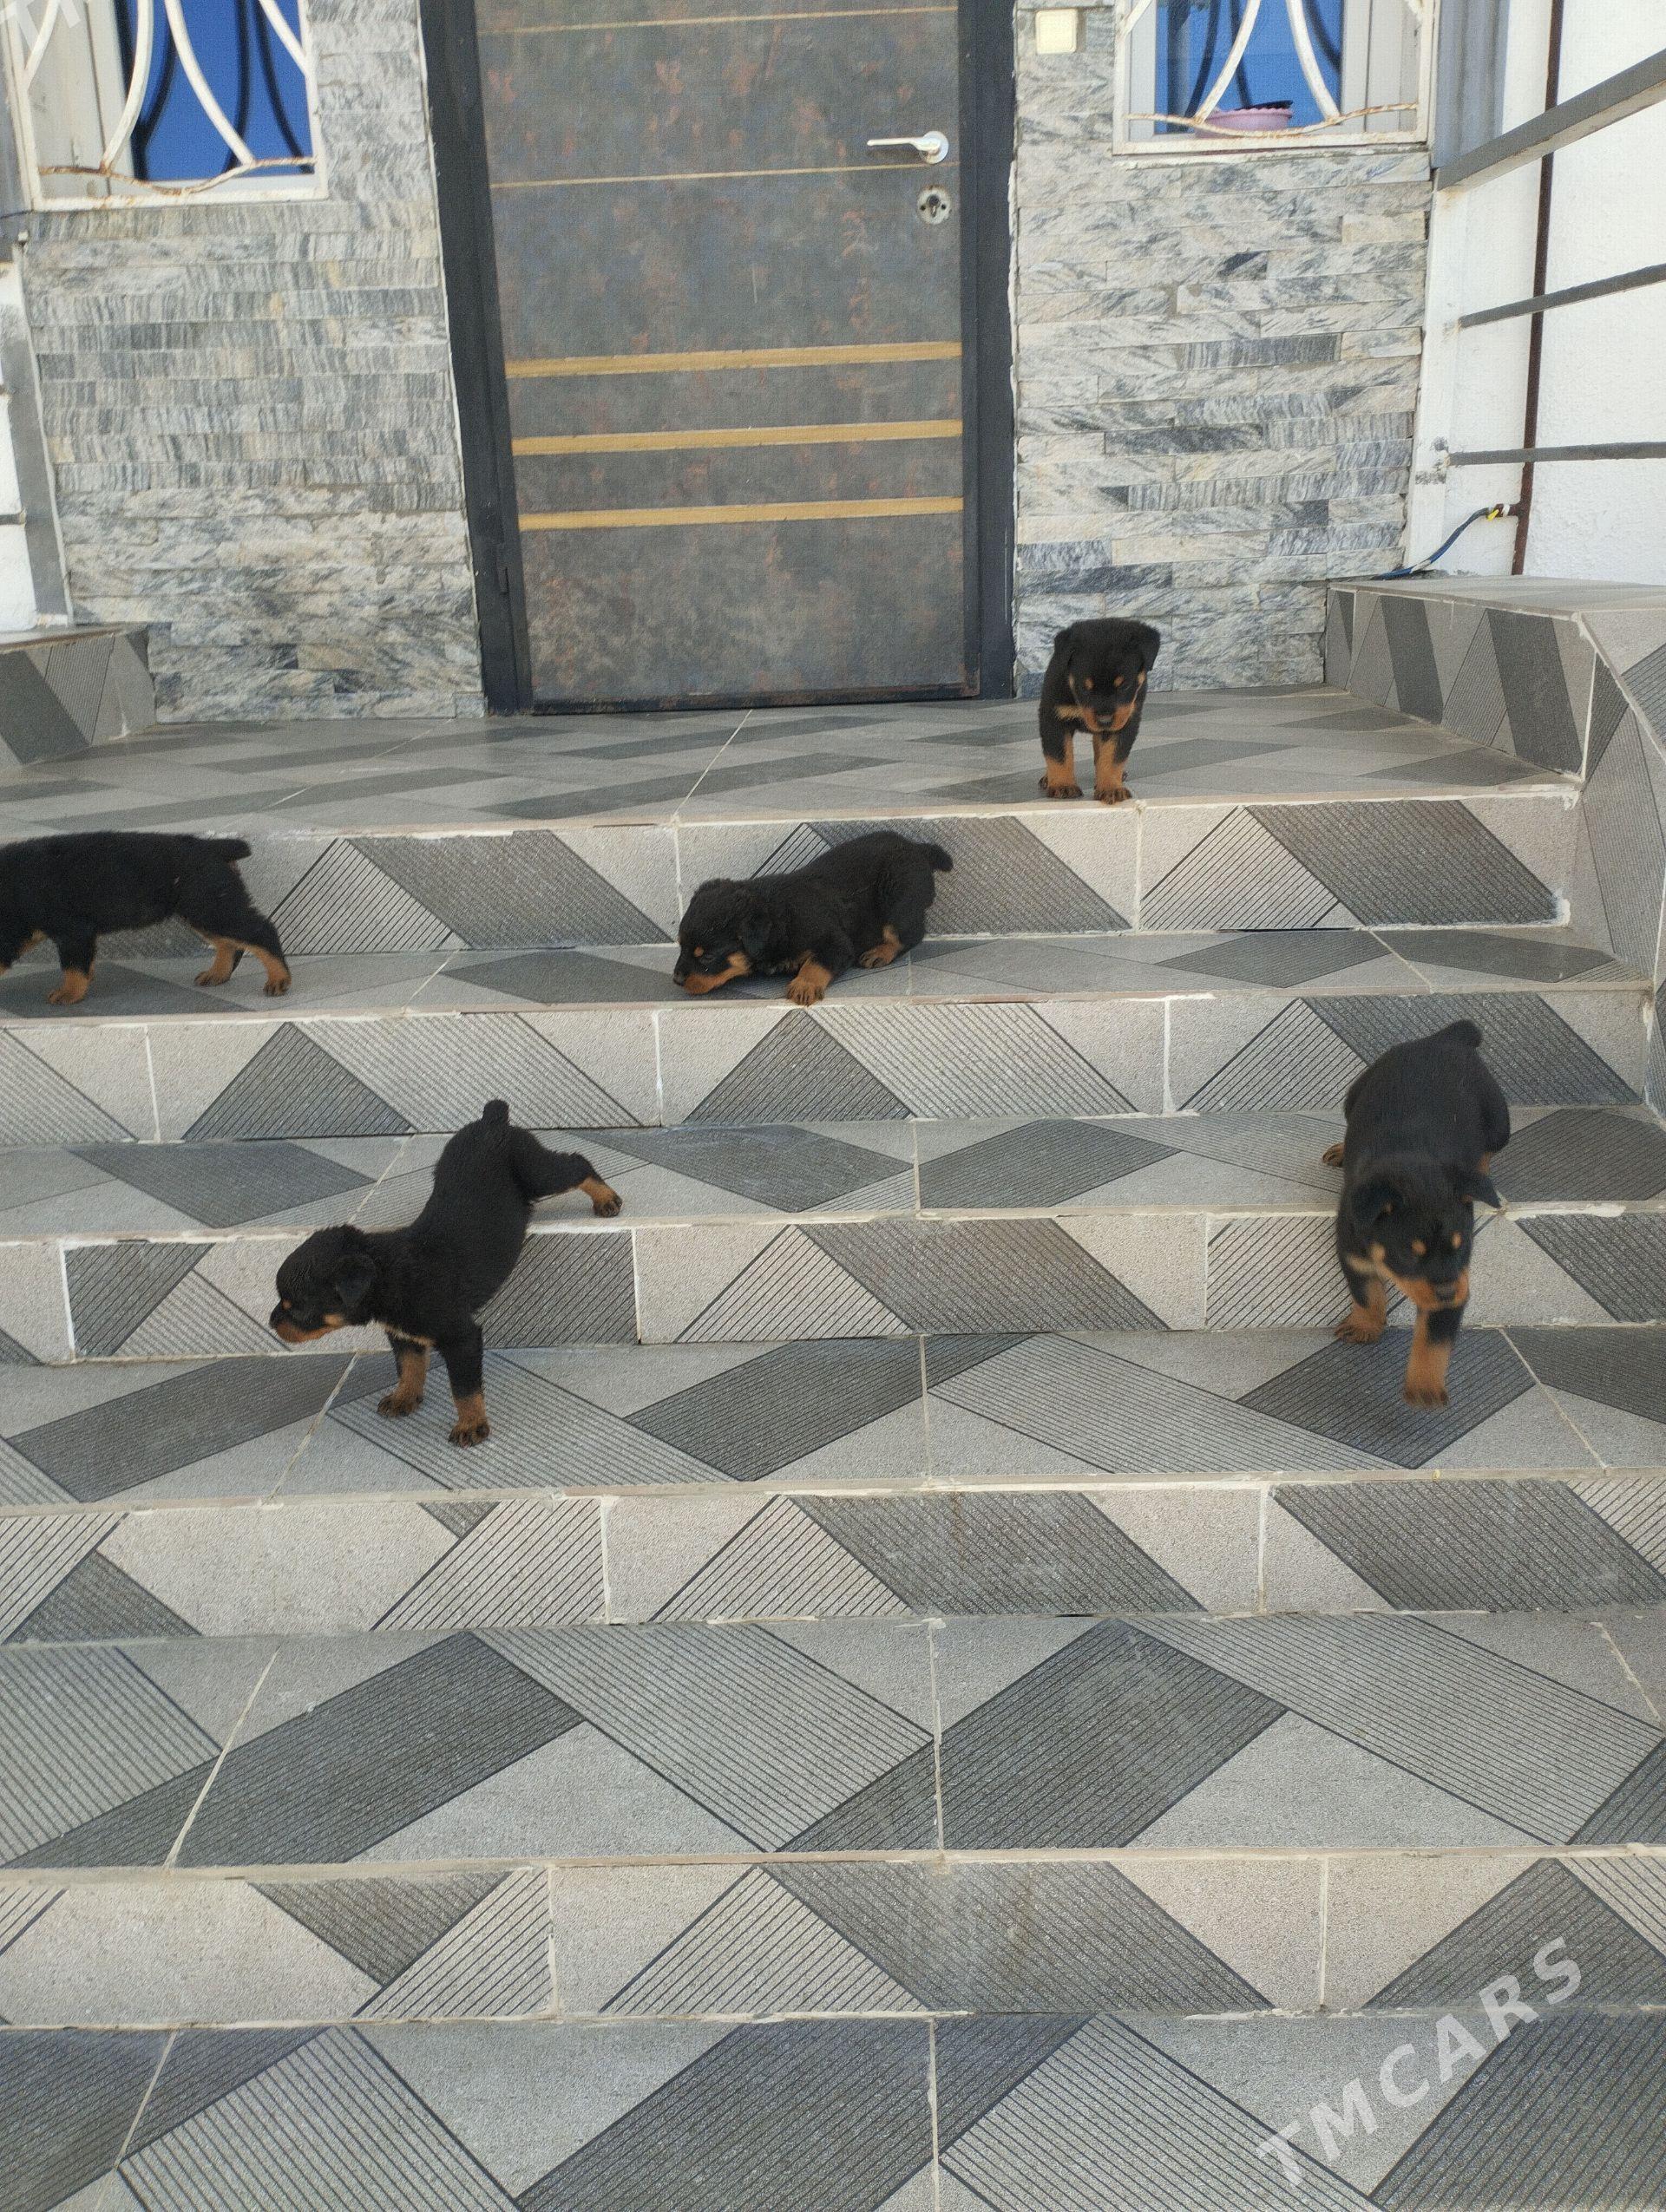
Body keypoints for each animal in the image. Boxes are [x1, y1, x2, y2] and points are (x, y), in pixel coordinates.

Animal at [0, 830, 291, 1005]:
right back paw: (217, 974)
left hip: (210, 906)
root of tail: (213, 846)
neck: (11, 888)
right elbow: (83, 963)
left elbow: (73, 967)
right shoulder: (78, 935)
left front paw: (69, 993)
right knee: (228, 943)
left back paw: (279, 979)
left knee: (261, 931)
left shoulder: (74, 930)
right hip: (202, 910)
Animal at [270, 1102, 622, 1446]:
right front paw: (404, 1397)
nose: (272, 1323)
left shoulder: (461, 1337)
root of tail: (492, 1120)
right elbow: (409, 1366)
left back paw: (606, 1198)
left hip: (536, 1171)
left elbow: (463, 1388)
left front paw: (471, 1425)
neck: (392, 1273)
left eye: (297, 1308)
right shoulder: (403, 1334)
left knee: (575, 1165)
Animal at [674, 829, 952, 1006]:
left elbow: (817, 962)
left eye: (707, 957)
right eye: (681, 946)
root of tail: (918, 848)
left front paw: (804, 985)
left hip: (896, 899)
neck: (778, 916)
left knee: (908, 934)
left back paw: (879, 952)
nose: (676, 980)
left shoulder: (836, 942)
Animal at [1039, 618, 1161, 804]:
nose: (1104, 720)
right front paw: (1063, 785)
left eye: (1124, 685)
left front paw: (1111, 788)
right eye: (1084, 687)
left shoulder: (1125, 721)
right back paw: (1048, 778)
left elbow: (1112, 757)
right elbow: (1059, 754)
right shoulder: (1054, 717)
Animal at [1323, 1019, 1508, 1408]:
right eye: (1409, 1254)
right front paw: (1365, 1326)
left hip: (1500, 1120)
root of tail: (1448, 1038)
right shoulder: (1353, 1254)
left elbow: (1434, 1340)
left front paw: (1425, 1386)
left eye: (1463, 1247)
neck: (1410, 1165)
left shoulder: (1458, 1281)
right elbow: (1367, 1294)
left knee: (1488, 1148)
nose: (1449, 1293)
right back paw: (1339, 1150)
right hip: (1354, 1095)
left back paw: (1480, 1174)